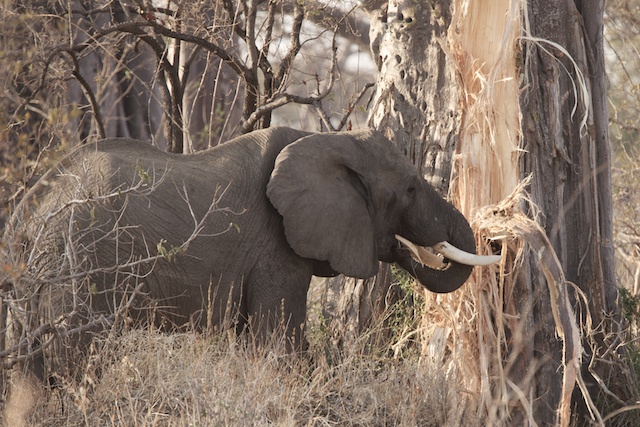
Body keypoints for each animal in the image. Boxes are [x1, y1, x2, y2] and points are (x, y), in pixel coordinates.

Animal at [1, 126, 500, 378]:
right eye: (411, 188)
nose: (497, 241)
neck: (327, 138)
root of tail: (29, 210)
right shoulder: (275, 245)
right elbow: (280, 345)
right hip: (79, 263)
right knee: (73, 359)